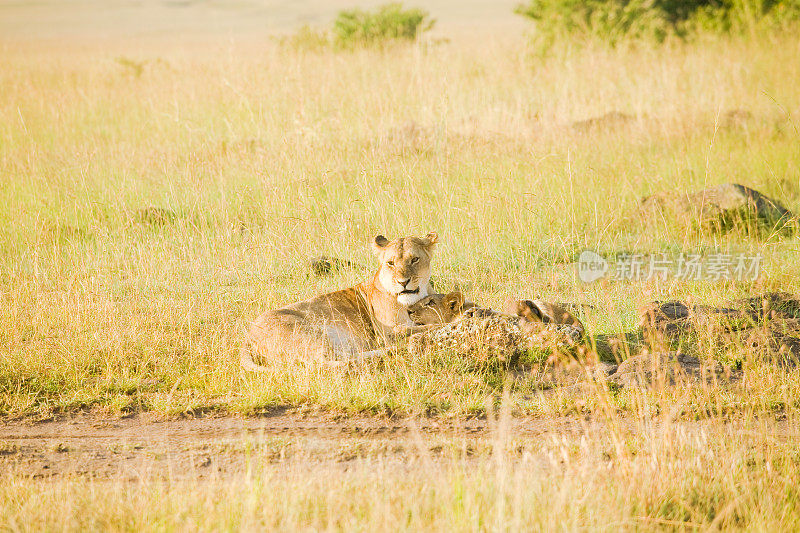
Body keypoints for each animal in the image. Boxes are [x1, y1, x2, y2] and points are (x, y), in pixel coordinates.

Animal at [239, 233, 438, 370]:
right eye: (390, 263)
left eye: (415, 259)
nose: (403, 282)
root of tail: (248, 336)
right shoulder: (389, 332)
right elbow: (430, 326)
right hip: (309, 333)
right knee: (325, 365)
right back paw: (393, 351)